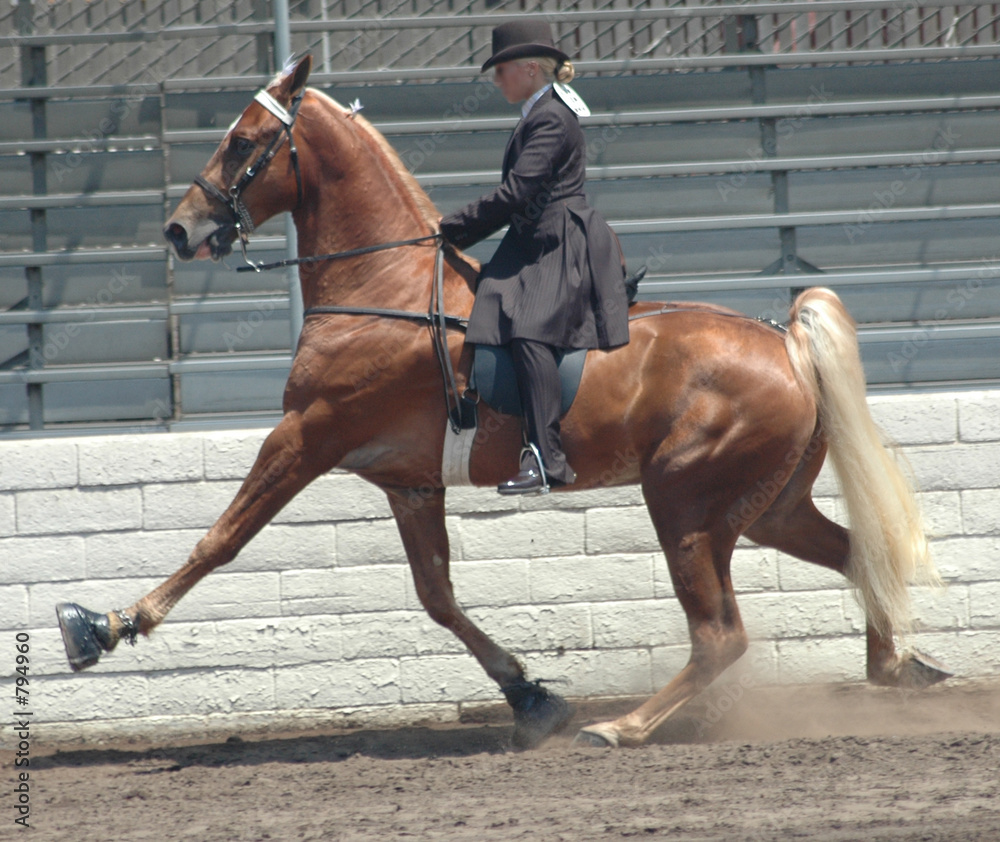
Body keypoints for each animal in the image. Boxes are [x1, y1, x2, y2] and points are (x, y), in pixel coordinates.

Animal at [56, 55, 950, 750]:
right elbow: (438, 596)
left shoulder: (304, 438)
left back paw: (623, 727)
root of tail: (785, 342)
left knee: (720, 637)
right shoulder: (410, 482)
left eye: (243, 141)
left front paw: (106, 627)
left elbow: (220, 541)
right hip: (765, 506)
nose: (180, 230)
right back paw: (896, 667)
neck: (381, 288)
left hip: (686, 503)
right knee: (856, 557)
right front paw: (529, 697)